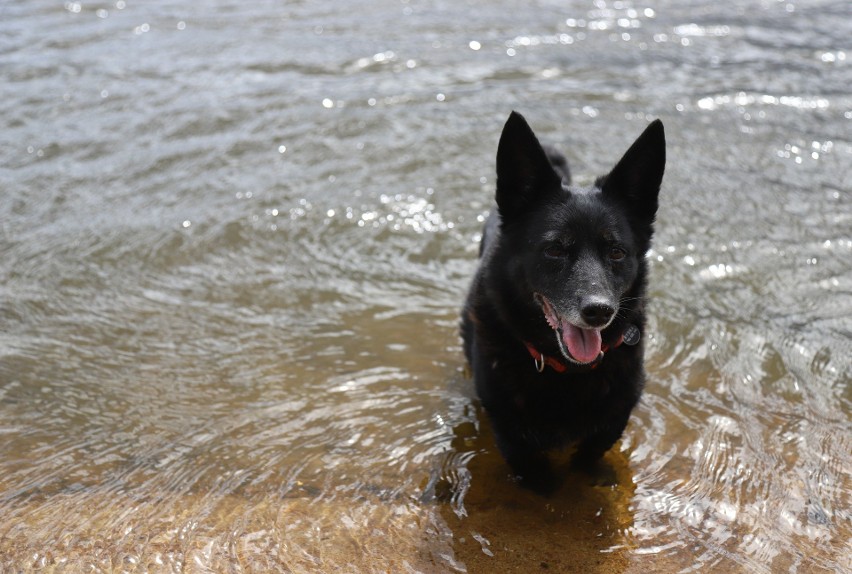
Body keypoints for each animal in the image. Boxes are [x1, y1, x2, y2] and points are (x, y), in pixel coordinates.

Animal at [462, 113, 664, 496]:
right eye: (555, 249)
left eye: (617, 252)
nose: (599, 311)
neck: (569, 372)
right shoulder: (509, 429)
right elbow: (535, 473)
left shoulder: (614, 417)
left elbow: (589, 454)